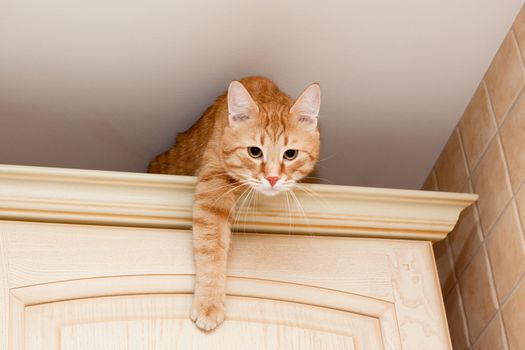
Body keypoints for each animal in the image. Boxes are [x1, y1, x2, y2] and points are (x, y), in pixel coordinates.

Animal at [147, 76, 320, 330]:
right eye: (254, 151)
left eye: (290, 154)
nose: (272, 178)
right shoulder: (213, 189)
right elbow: (211, 248)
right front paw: (209, 302)